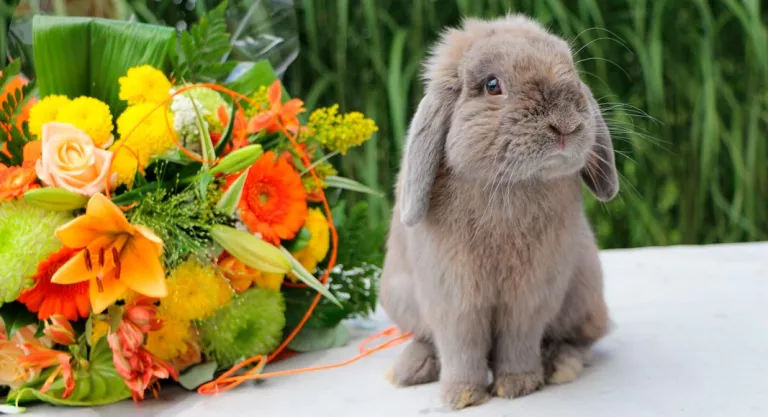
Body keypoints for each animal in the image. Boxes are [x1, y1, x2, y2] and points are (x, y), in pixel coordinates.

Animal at [378, 13, 616, 410]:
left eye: (571, 70)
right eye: (492, 85)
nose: (565, 124)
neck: (511, 186)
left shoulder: (531, 297)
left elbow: (519, 339)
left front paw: (517, 385)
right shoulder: (454, 298)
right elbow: (462, 344)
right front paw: (461, 395)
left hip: (584, 295)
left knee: (583, 339)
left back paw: (560, 365)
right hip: (400, 297)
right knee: (426, 338)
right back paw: (409, 369)